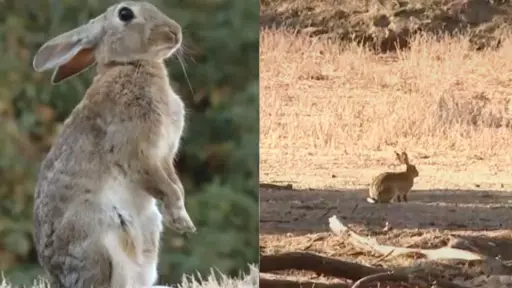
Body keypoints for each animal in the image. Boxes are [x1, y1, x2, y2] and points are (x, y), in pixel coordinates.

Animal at [32, 1, 196, 286]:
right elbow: (167, 187)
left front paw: (183, 220)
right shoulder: (137, 153)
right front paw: (182, 222)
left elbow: (175, 185)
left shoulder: (164, 156)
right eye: (125, 14)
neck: (130, 64)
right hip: (98, 240)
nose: (175, 32)